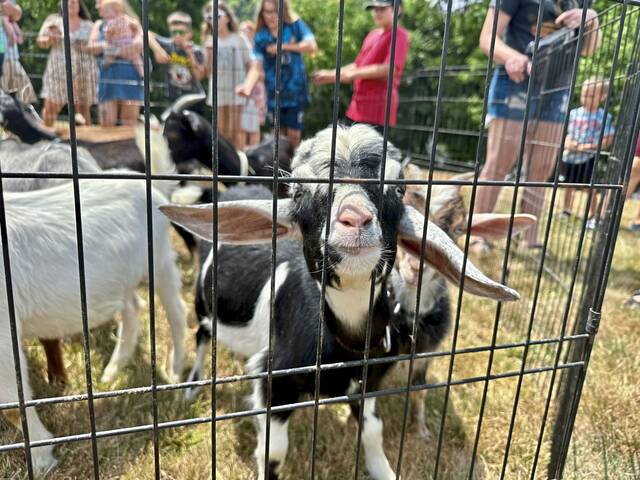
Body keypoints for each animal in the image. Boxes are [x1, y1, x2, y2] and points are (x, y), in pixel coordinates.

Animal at [0, 128, 187, 474]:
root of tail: (150, 185)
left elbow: (12, 401)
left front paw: (42, 459)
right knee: (132, 308)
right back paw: (112, 372)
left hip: (159, 258)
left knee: (176, 311)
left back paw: (176, 374)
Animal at [162, 124, 520, 480]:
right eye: (299, 193)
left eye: (398, 188)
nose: (354, 218)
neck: (346, 342)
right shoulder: (275, 379)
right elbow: (274, 453)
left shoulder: (369, 383)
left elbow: (373, 430)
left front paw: (383, 470)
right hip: (204, 304)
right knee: (202, 334)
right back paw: (191, 388)